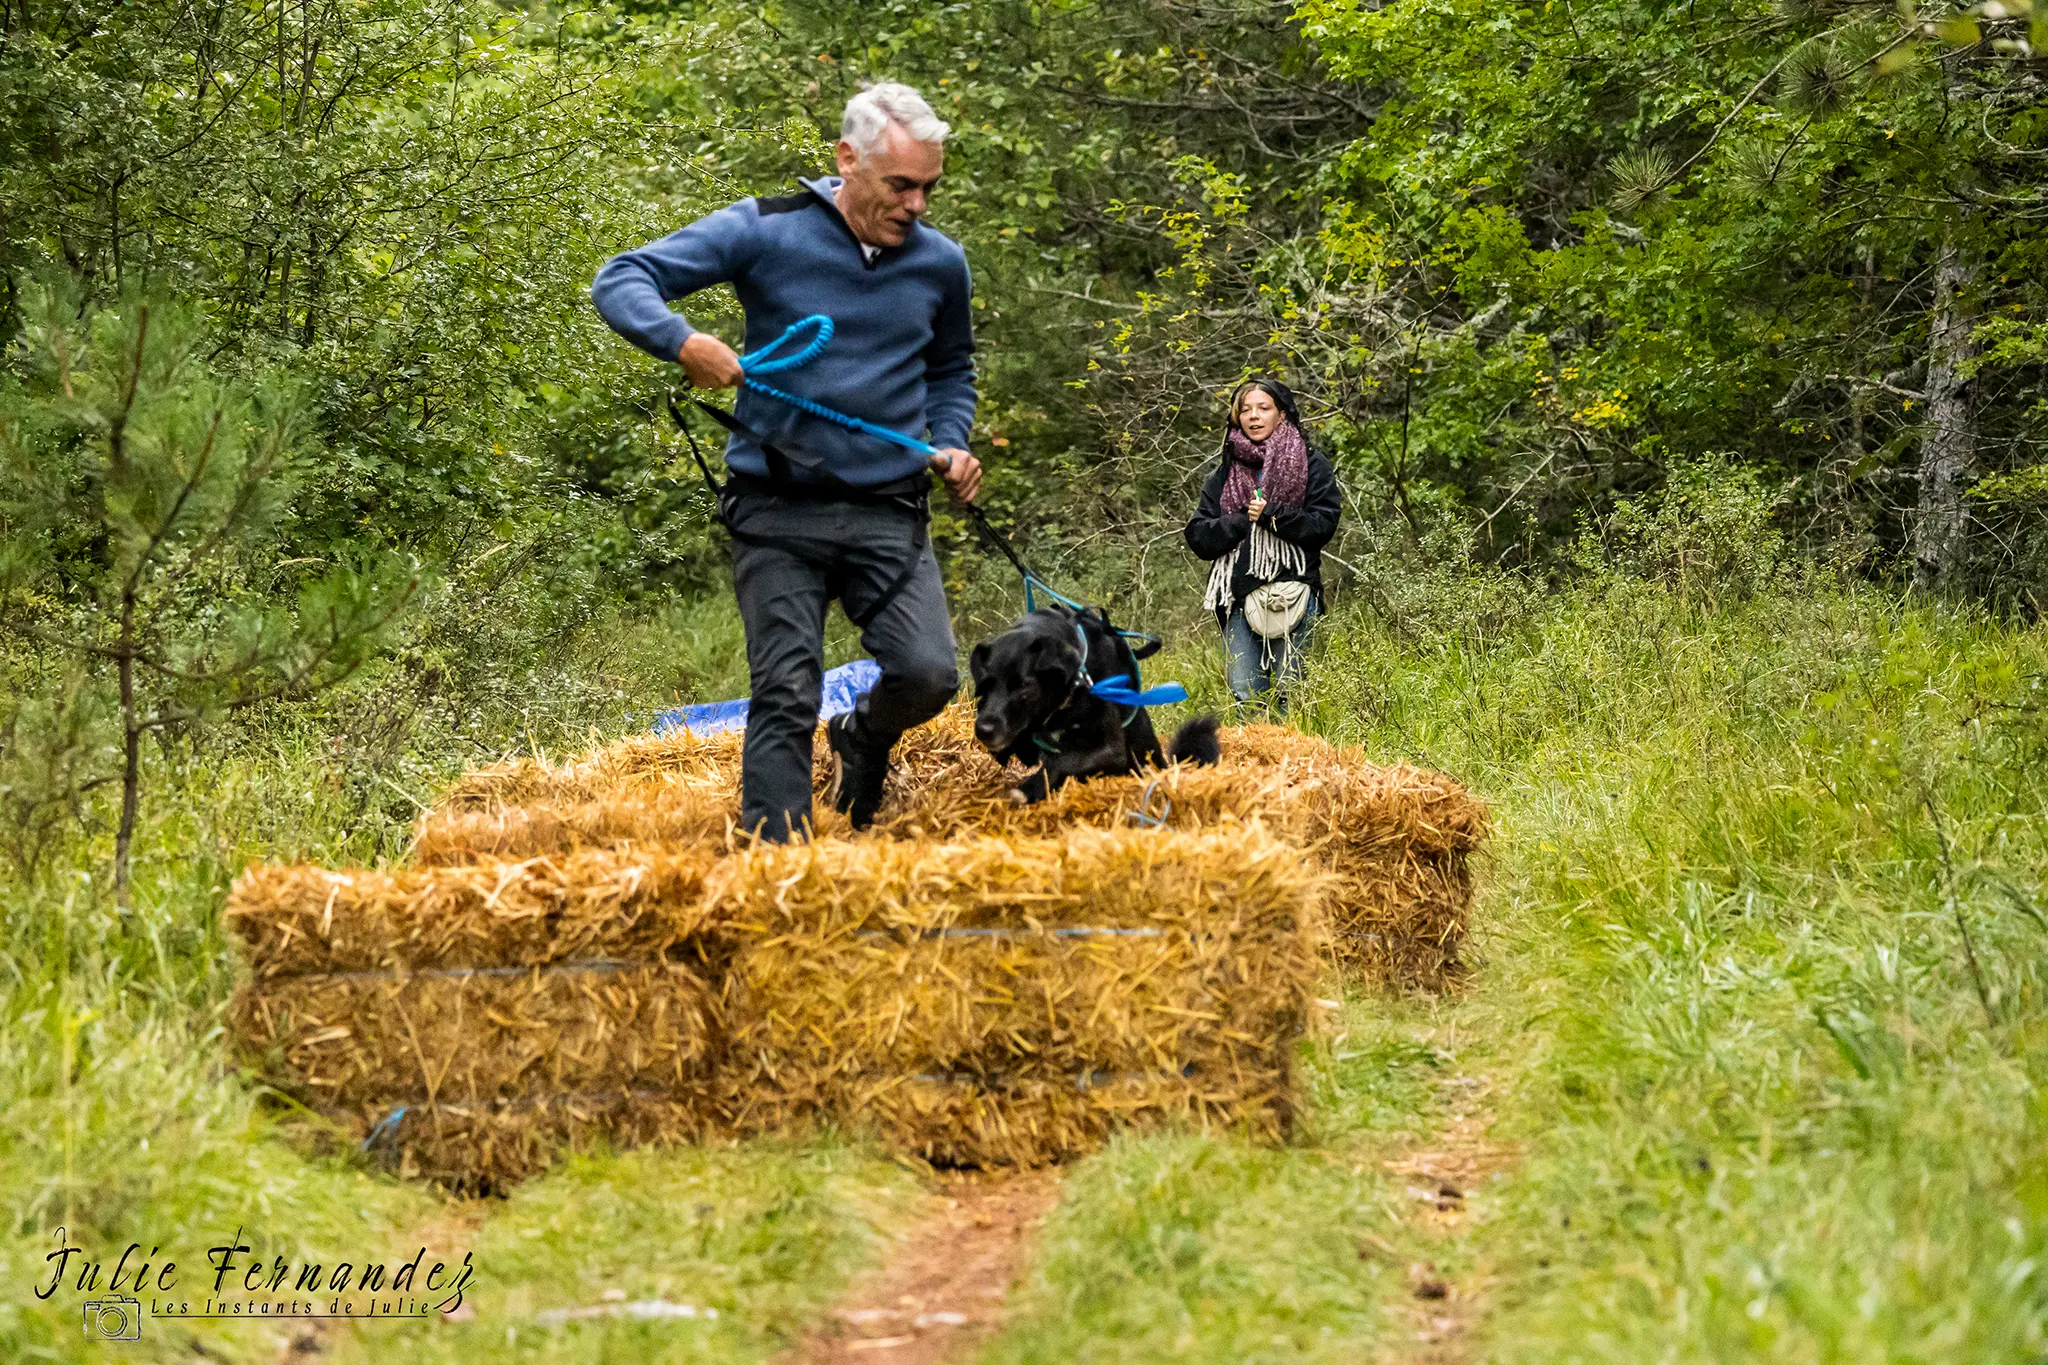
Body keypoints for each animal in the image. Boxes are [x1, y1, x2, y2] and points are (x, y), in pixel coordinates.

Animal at [962, 605, 1212, 802]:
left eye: (1025, 685)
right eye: (984, 684)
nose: (984, 729)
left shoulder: (1110, 749)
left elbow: (1063, 761)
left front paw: (1029, 789)